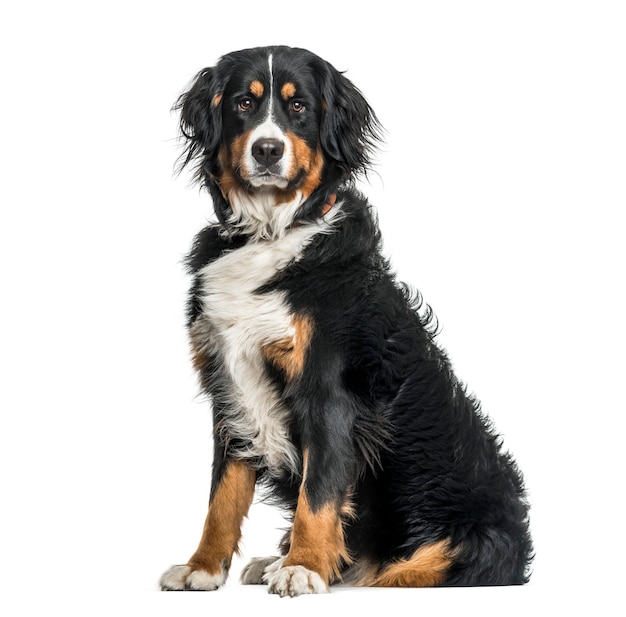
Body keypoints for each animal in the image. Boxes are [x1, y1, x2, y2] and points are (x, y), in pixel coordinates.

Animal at [157, 44, 532, 596]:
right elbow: (221, 497)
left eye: (298, 107)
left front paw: (305, 565)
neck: (269, 234)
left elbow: (318, 494)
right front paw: (202, 567)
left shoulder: (328, 390)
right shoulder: (228, 387)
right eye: (244, 103)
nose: (266, 150)